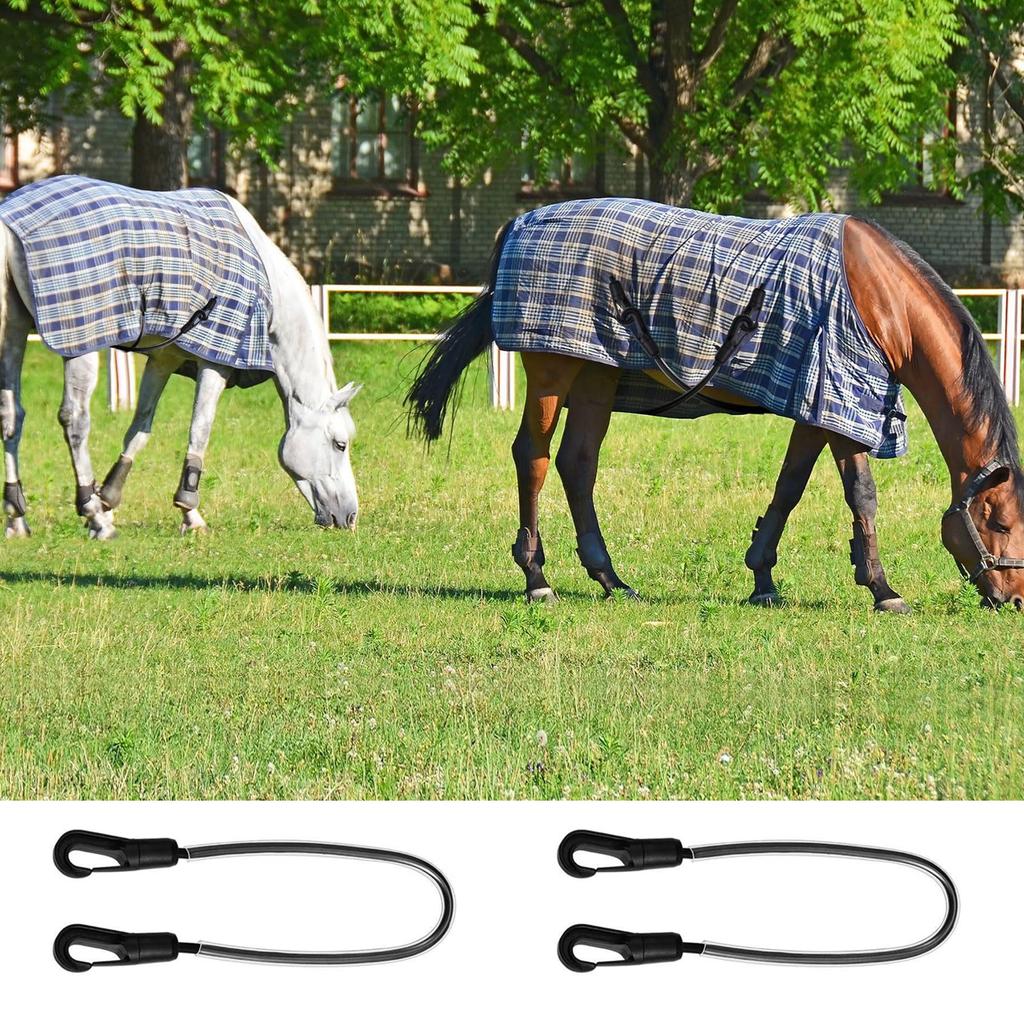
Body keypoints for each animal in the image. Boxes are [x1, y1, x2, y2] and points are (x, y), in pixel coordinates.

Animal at [0, 176, 359, 539]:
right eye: (340, 444)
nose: (350, 517)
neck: (267, 286)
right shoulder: (217, 362)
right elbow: (200, 429)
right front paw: (189, 512)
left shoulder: (163, 360)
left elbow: (140, 428)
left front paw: (109, 499)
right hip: (79, 344)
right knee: (75, 419)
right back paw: (93, 515)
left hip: (12, 332)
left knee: (11, 416)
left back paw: (17, 516)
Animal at [406, 198, 1024, 610]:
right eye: (998, 521)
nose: (1013, 598)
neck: (880, 296)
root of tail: (519, 224)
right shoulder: (840, 400)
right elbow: (862, 495)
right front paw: (882, 588)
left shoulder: (815, 405)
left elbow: (790, 487)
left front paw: (763, 579)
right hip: (552, 372)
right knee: (532, 458)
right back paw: (538, 579)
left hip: (598, 374)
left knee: (577, 464)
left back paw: (612, 580)